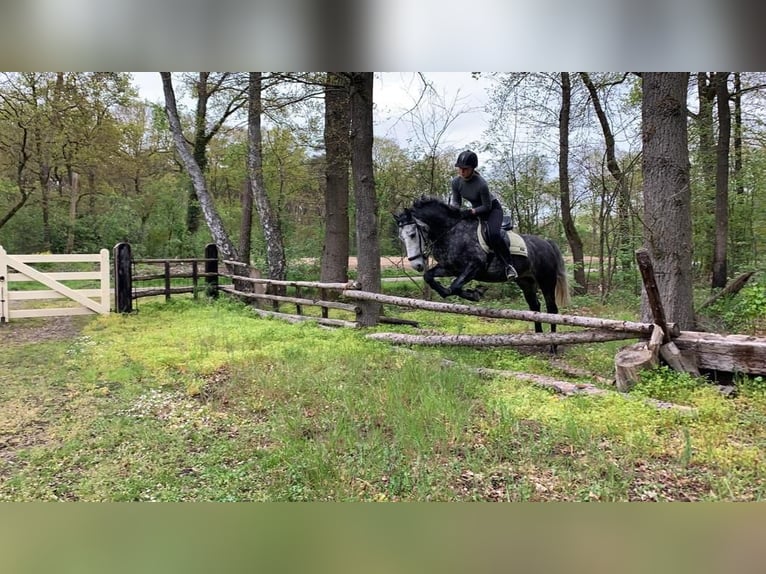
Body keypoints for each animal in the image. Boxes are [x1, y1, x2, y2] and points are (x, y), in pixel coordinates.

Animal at [396, 197, 568, 336]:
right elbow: (431, 279)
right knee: (535, 307)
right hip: (526, 281)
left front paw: (476, 293)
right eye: (401, 237)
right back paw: (539, 337)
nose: (416, 264)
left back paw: (553, 345)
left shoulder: (474, 267)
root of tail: (547, 243)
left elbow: (455, 286)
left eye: (412, 234)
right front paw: (473, 292)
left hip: (546, 280)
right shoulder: (450, 268)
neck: (450, 231)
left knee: (552, 309)